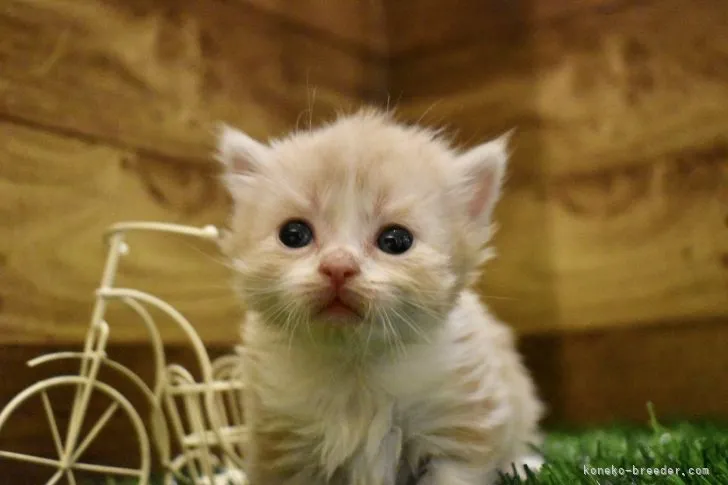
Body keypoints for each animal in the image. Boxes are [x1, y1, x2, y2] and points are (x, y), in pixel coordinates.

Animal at [219, 110, 544, 484]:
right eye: (294, 234)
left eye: (396, 240)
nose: (338, 266)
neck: (355, 363)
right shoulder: (281, 444)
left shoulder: (459, 424)